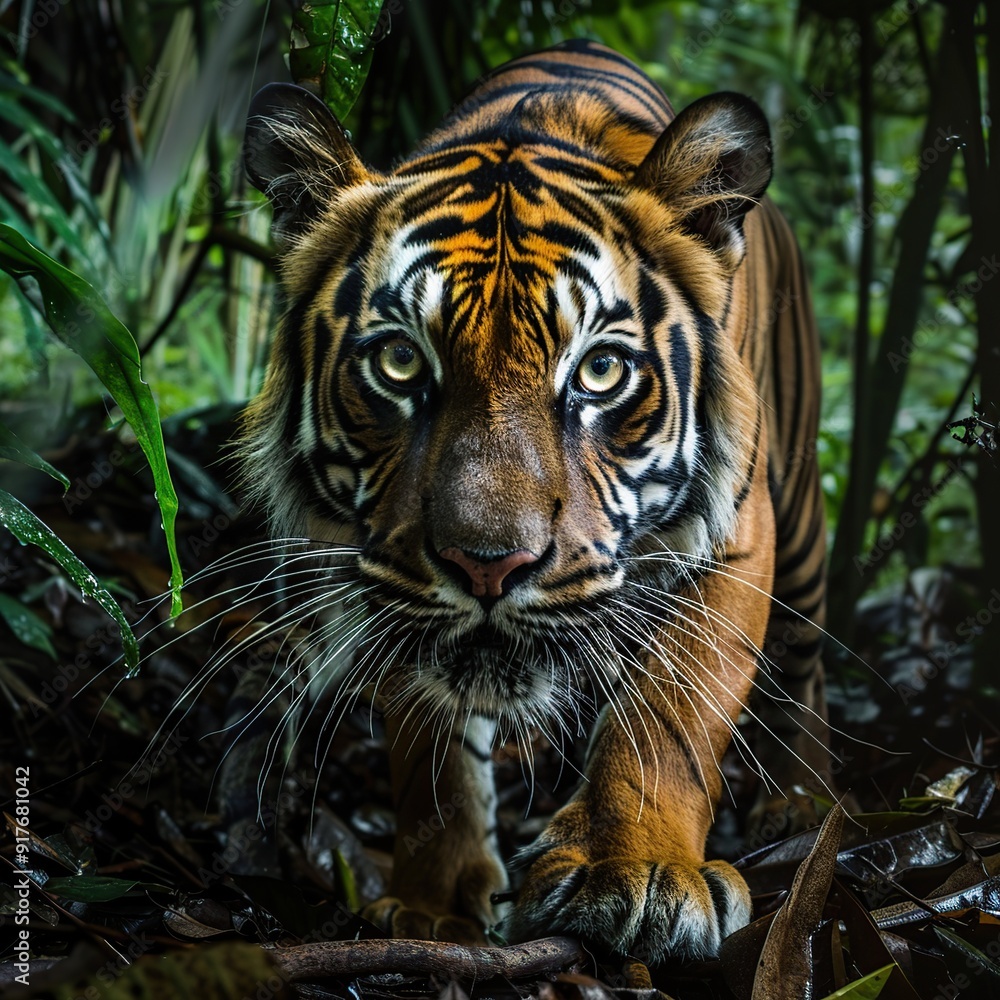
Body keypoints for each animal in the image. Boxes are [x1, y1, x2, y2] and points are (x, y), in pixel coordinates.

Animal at [239, 38, 828, 963]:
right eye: (400, 362)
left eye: (600, 370)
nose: (489, 566)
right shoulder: (392, 573)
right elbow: (431, 750)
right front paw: (434, 904)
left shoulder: (737, 535)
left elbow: (672, 711)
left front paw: (637, 871)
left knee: (810, 670)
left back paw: (806, 804)